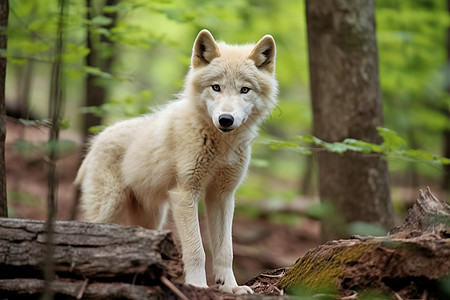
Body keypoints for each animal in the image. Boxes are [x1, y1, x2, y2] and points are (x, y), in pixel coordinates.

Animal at [74, 29, 278, 294]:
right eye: (216, 87)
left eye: (245, 90)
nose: (226, 119)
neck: (220, 144)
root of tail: (96, 140)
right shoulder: (185, 194)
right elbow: (196, 250)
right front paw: (198, 286)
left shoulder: (222, 197)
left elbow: (226, 250)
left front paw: (230, 287)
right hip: (109, 208)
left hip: (152, 219)